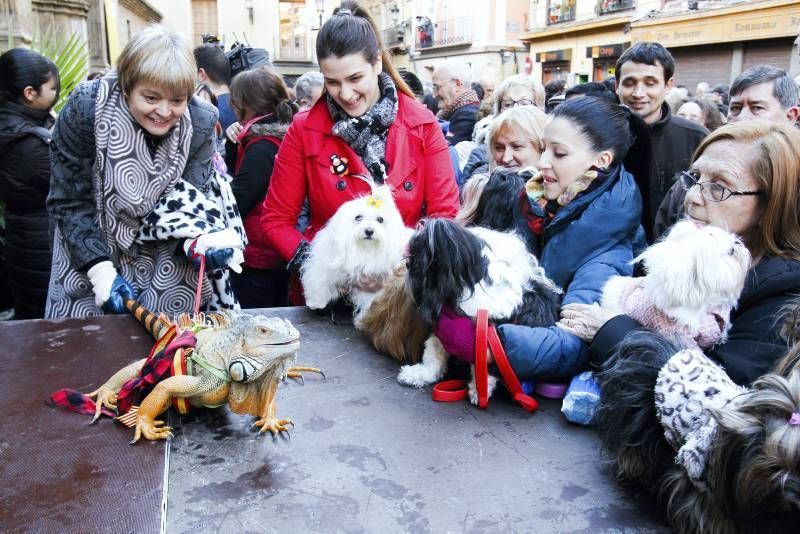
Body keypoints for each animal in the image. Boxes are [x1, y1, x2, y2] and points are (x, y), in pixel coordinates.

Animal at [300, 187, 412, 322]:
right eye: (358, 217)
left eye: (380, 220)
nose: (369, 231)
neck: (364, 250)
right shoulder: (327, 258)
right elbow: (320, 278)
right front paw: (317, 302)